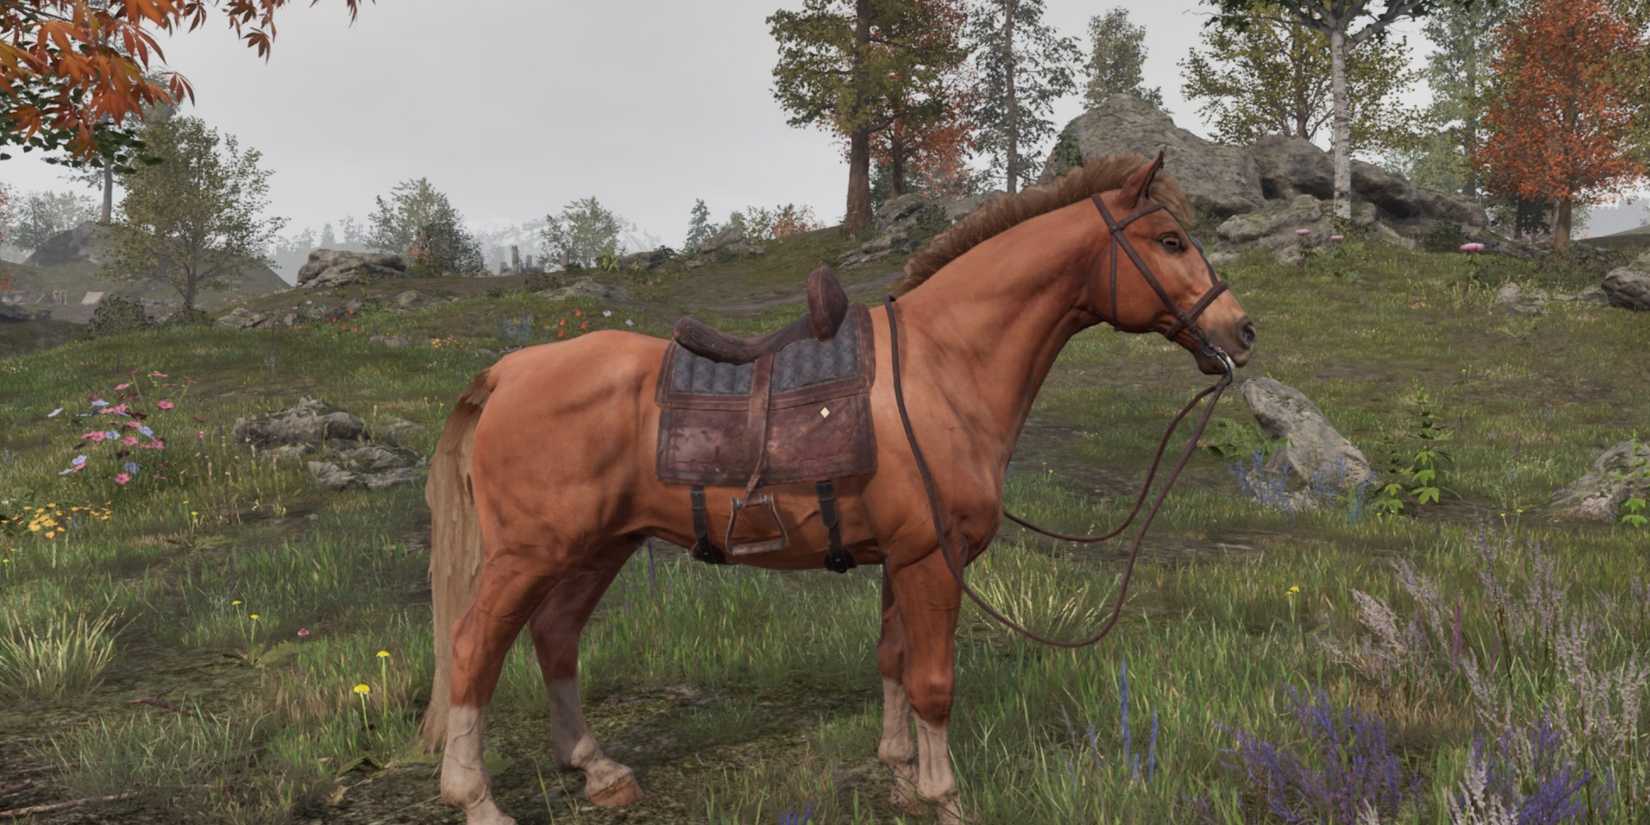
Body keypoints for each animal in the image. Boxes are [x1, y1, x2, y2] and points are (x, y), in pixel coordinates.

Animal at [418, 151, 1254, 825]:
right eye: (1171, 241)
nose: (1242, 332)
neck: (943, 367)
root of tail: (509, 371)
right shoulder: (933, 559)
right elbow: (933, 680)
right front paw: (944, 796)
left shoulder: (900, 558)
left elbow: (892, 659)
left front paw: (900, 773)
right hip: (531, 552)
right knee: (471, 648)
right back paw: (476, 798)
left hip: (599, 545)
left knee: (555, 634)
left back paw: (597, 769)